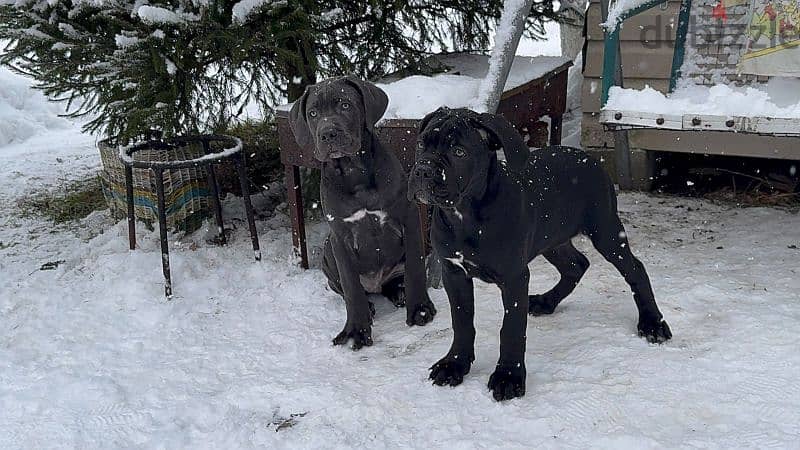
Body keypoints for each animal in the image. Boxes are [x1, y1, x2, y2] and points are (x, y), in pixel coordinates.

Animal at [290, 76, 438, 352]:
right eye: (313, 113)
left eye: (345, 105)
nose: (328, 133)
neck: (354, 172)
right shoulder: (340, 236)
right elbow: (351, 289)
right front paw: (356, 330)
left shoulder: (408, 218)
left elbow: (415, 268)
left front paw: (420, 309)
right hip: (328, 251)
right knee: (348, 289)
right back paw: (370, 306)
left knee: (396, 279)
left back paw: (400, 293)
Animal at [410, 108, 672, 400]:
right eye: (420, 144)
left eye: (458, 152)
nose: (422, 170)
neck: (465, 215)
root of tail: (590, 159)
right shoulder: (453, 272)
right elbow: (462, 321)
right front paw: (454, 364)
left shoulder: (514, 277)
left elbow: (511, 328)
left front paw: (508, 376)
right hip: (551, 239)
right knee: (577, 265)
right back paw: (546, 302)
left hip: (605, 231)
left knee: (634, 268)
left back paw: (653, 323)